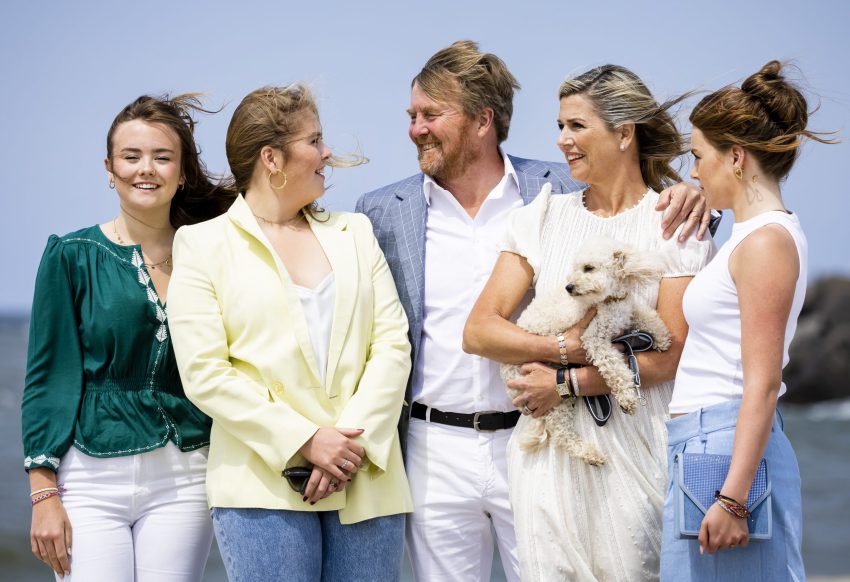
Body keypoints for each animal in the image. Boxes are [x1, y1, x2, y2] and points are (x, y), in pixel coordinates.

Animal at [504, 235, 668, 468]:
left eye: (588, 268)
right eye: (576, 269)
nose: (569, 287)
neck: (608, 300)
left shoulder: (626, 311)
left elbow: (647, 316)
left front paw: (662, 338)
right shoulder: (594, 338)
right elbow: (616, 370)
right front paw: (627, 399)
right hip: (550, 397)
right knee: (561, 432)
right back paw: (590, 454)